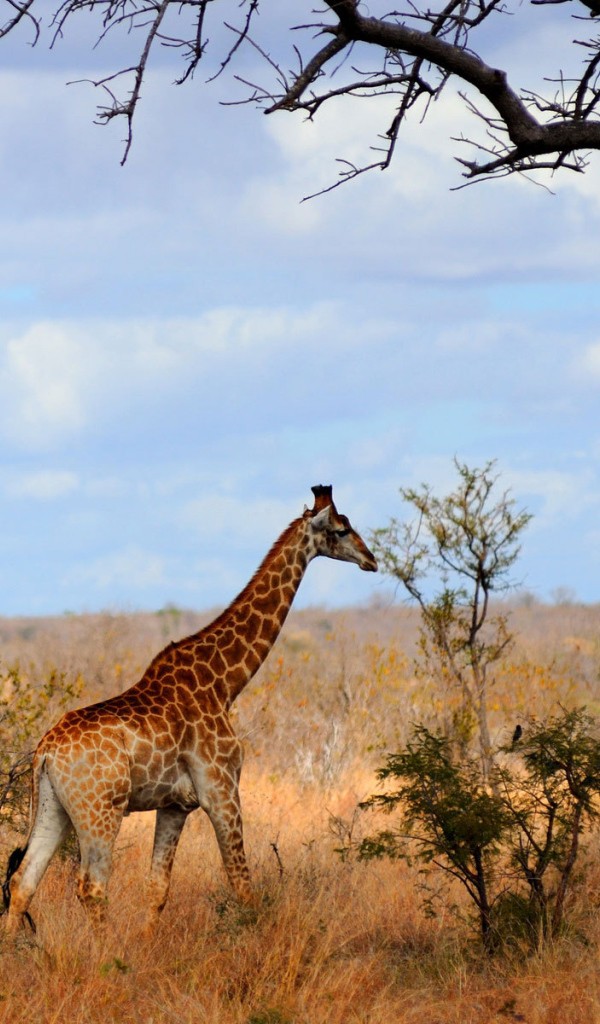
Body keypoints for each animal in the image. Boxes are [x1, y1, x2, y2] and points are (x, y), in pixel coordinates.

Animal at [4, 485, 377, 936]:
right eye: (341, 530)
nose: (372, 560)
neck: (223, 683)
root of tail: (45, 752)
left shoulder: (175, 804)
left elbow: (158, 889)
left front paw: (147, 945)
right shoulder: (221, 789)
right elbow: (242, 884)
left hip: (53, 807)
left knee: (24, 881)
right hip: (101, 809)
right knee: (91, 885)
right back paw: (106, 950)